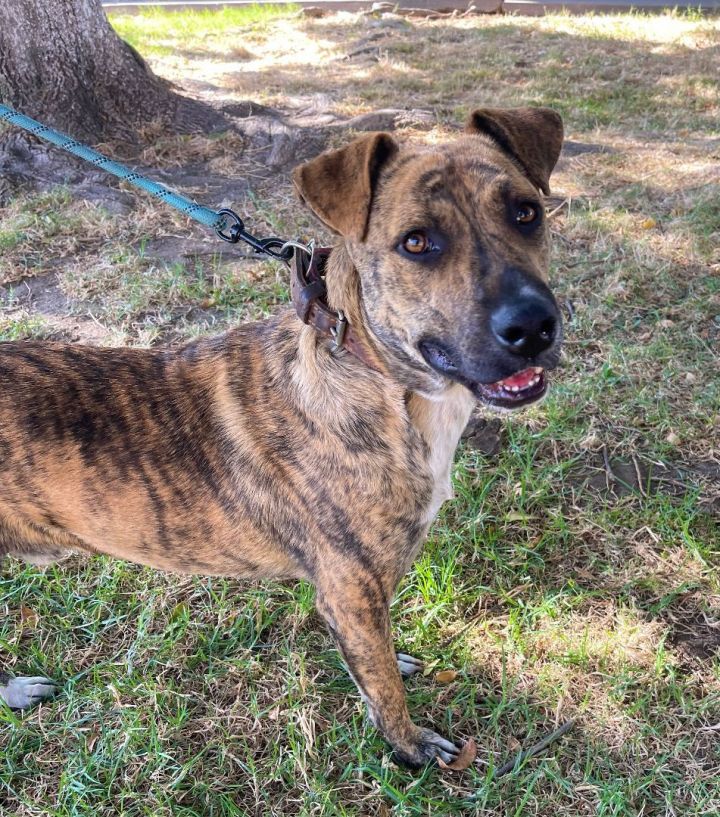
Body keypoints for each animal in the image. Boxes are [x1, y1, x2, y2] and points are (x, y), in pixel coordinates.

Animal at [0, 107, 564, 764]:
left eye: (526, 212)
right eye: (416, 243)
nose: (533, 326)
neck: (378, 379)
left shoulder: (359, 595)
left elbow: (374, 659)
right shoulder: (350, 588)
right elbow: (384, 687)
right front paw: (410, 745)